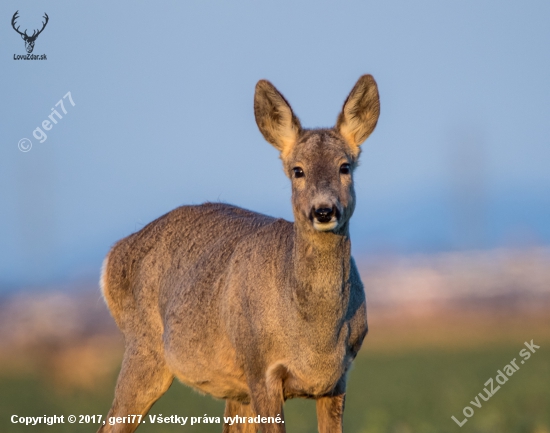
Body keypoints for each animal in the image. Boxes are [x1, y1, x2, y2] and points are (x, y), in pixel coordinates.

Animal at [99, 74, 382, 432]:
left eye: (345, 167)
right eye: (297, 170)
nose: (323, 211)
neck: (316, 341)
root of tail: (114, 253)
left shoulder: (338, 378)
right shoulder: (261, 367)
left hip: (234, 389)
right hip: (144, 348)